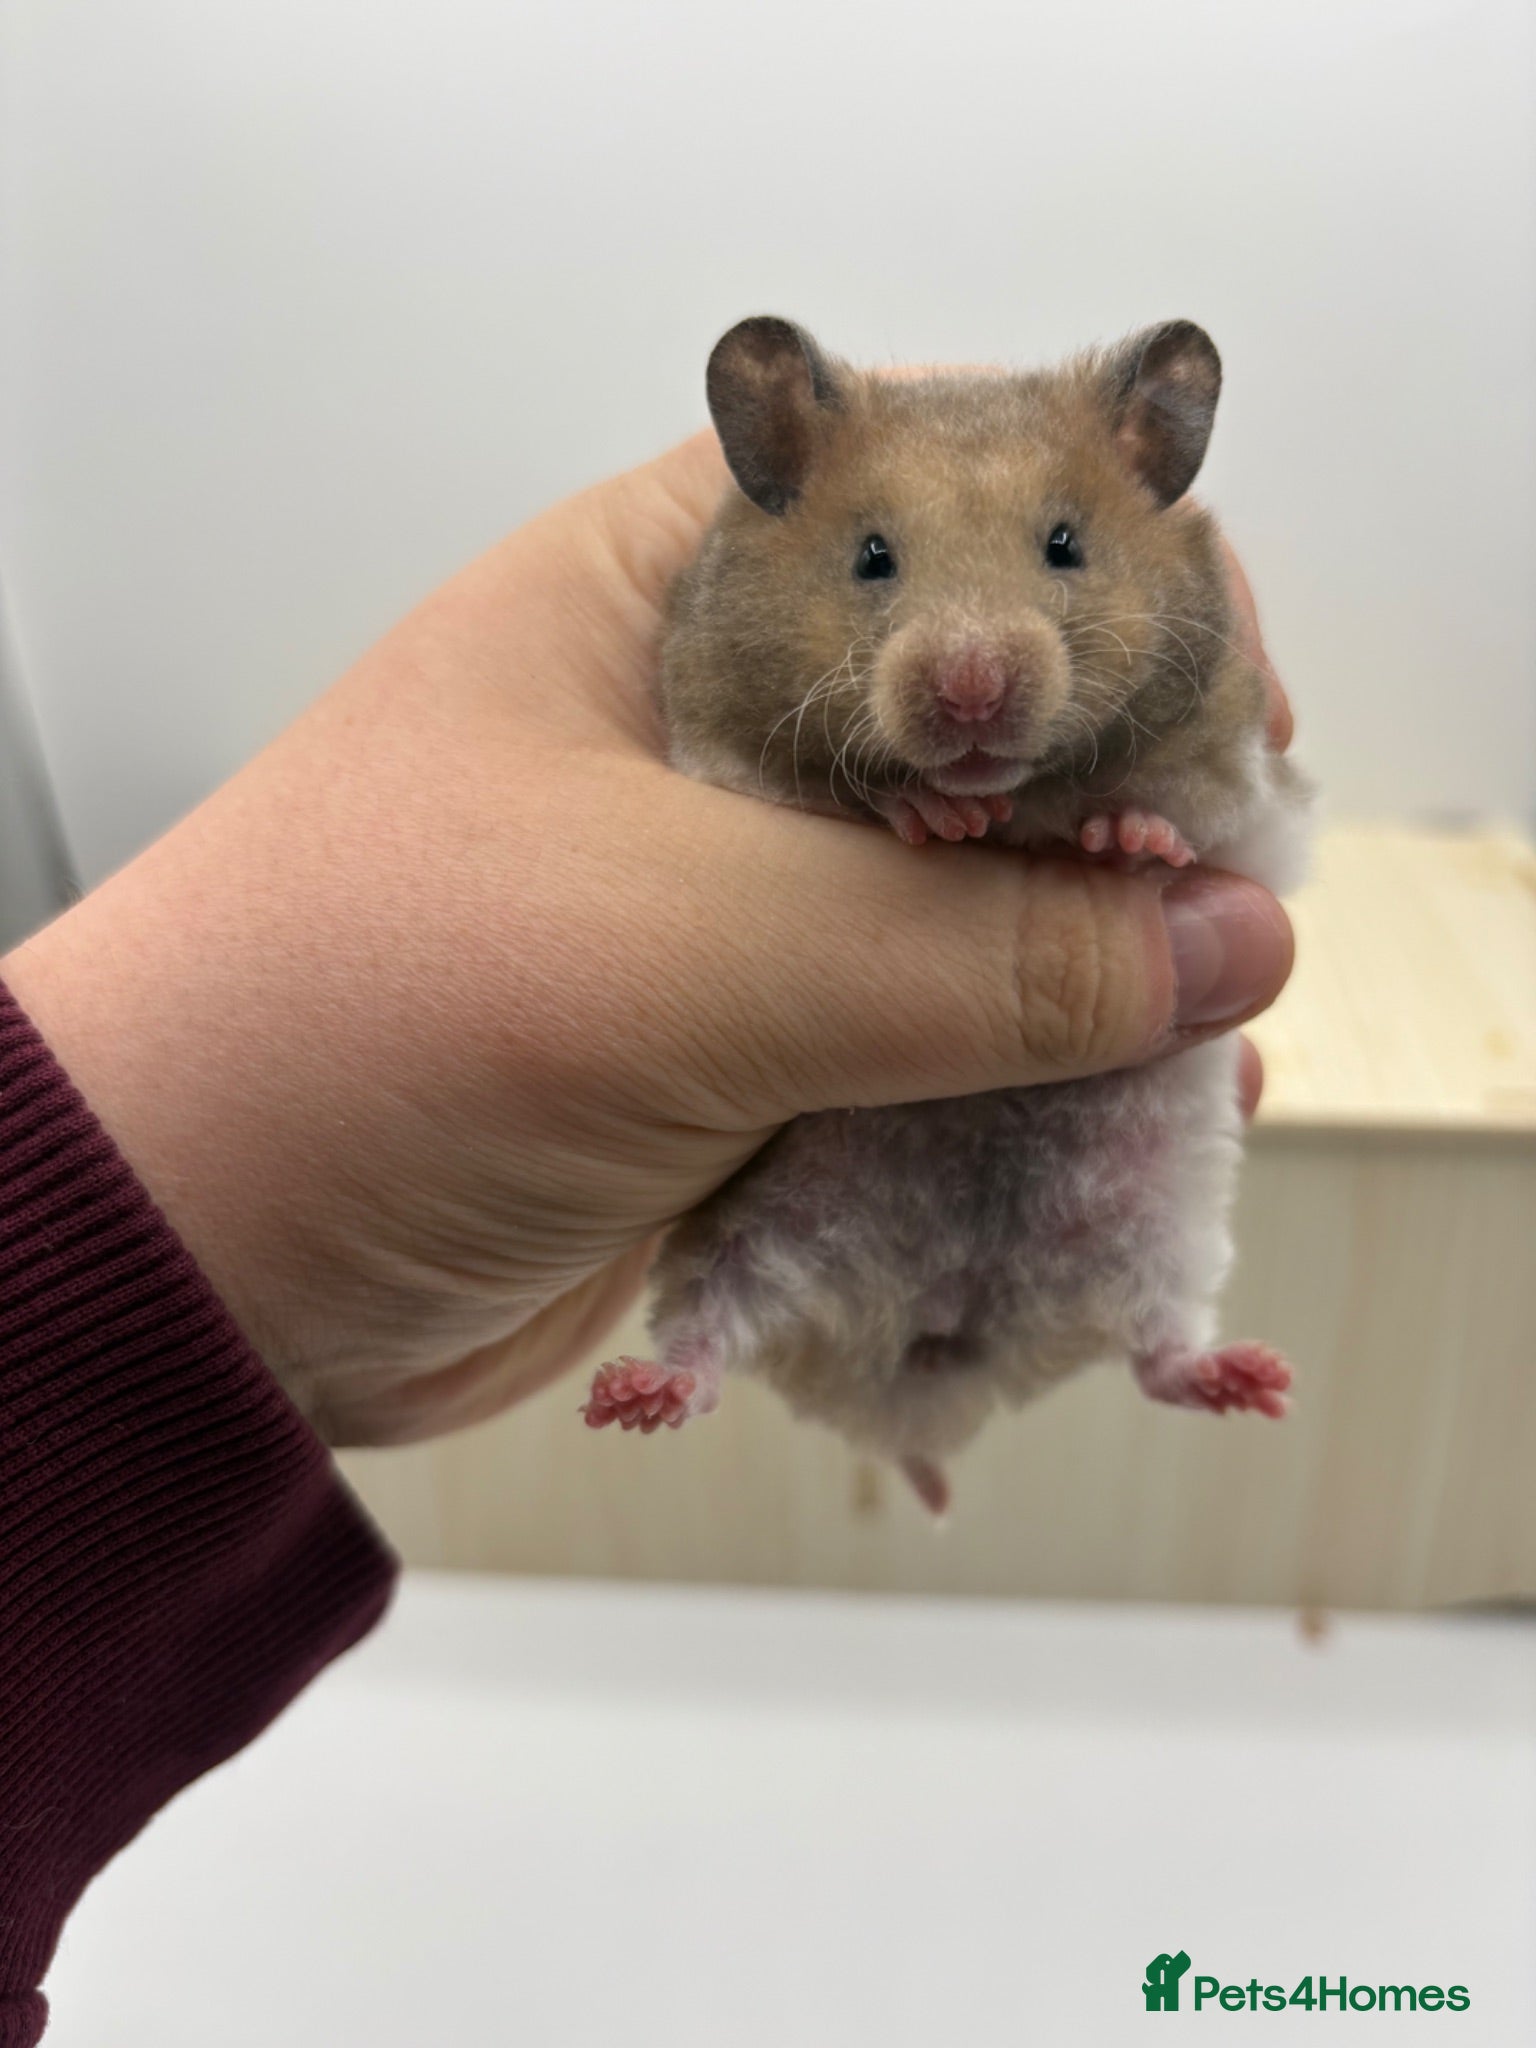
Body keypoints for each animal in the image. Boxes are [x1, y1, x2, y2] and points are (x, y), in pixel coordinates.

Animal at [582, 315, 1310, 1515]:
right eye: (872, 556)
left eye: (1065, 544)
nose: (972, 691)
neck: (1015, 795)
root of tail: (928, 1369)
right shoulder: (720, 745)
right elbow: (838, 791)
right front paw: (928, 813)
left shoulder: (1240, 769)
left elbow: (1186, 812)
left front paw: (1124, 840)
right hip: (745, 1232)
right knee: (710, 1339)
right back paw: (632, 1396)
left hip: (1155, 1228)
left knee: (1157, 1350)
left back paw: (1257, 1379)